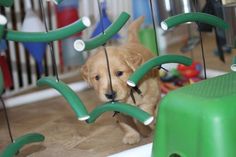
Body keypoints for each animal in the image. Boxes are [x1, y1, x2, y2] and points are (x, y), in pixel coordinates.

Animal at [80, 16, 160, 144]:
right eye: (97, 77)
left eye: (119, 73)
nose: (110, 94)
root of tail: (133, 42)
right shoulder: (118, 110)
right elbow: (126, 124)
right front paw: (131, 136)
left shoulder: (149, 96)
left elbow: (144, 115)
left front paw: (146, 129)